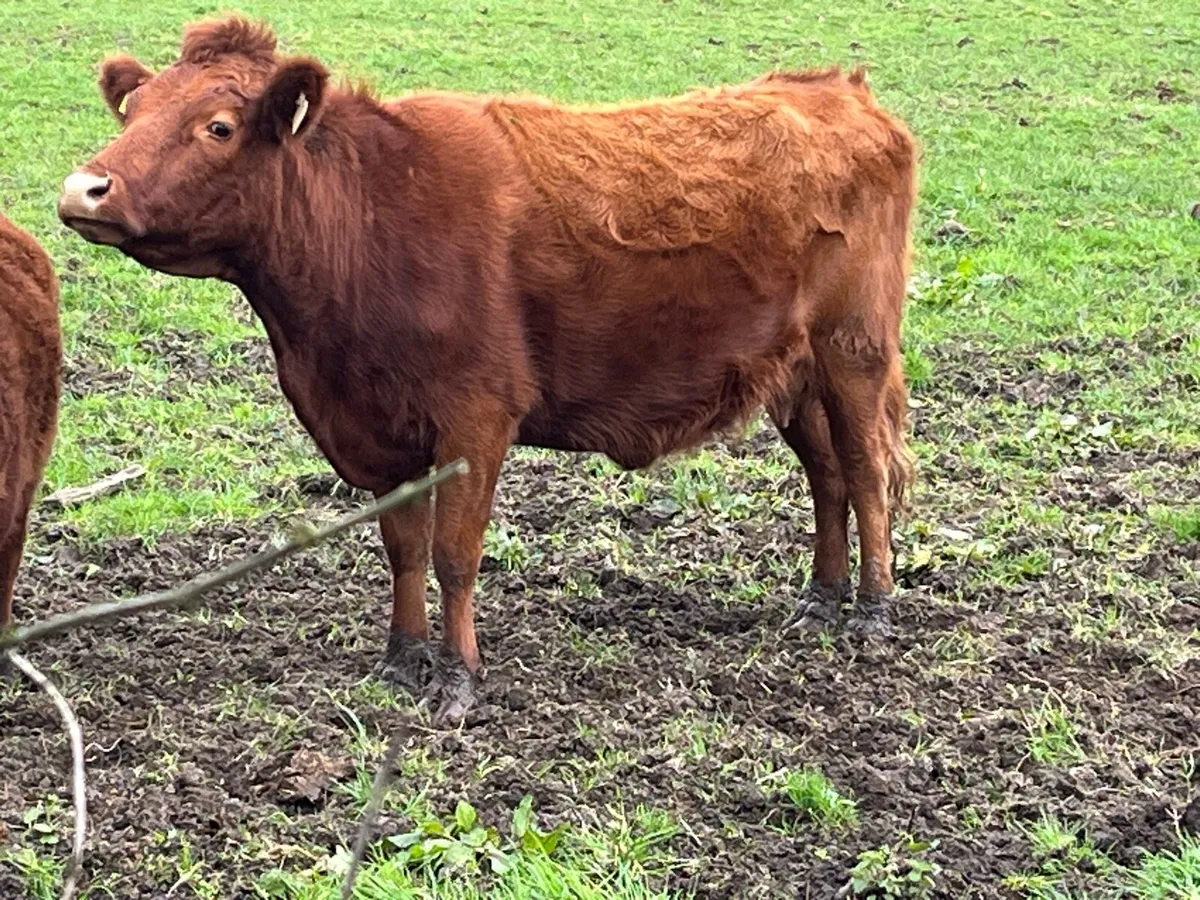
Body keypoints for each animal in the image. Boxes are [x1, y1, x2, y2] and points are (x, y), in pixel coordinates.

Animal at [58, 17, 918, 725]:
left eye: (219, 125)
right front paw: (401, 661)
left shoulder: (474, 418)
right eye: (132, 112)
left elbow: (454, 553)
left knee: (866, 470)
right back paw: (820, 600)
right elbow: (404, 549)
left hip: (854, 350)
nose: (82, 189)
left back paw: (873, 610)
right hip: (793, 373)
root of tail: (838, 91)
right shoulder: (379, 432)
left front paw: (459, 679)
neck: (367, 218)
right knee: (827, 475)